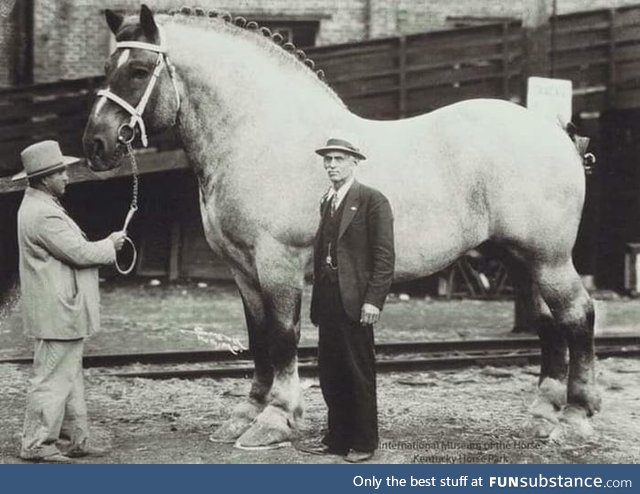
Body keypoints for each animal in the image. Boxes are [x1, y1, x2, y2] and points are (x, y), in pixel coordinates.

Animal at [81, 5, 600, 450]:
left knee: (578, 316)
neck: (262, 135)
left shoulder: (278, 262)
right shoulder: (243, 269)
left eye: (138, 70)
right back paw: (542, 414)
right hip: (521, 258)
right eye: (107, 67)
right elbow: (257, 337)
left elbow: (282, 336)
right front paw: (246, 414)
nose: (97, 144)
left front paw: (276, 419)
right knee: (548, 322)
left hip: (548, 258)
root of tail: (555, 131)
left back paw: (575, 419)